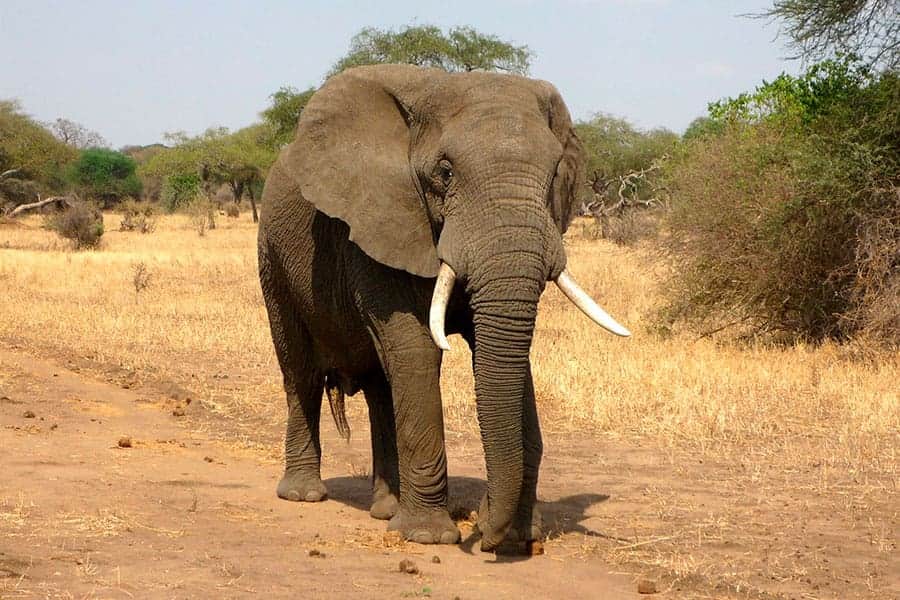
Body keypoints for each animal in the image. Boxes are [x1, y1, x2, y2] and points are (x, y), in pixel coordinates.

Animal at [257, 64, 629, 552]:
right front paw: (428, 537)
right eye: (446, 172)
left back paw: (386, 509)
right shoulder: (381, 220)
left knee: (381, 386)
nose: (485, 531)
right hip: (272, 256)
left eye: (554, 175)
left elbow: (506, 357)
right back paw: (304, 495)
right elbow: (417, 349)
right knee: (299, 370)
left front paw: (518, 536)